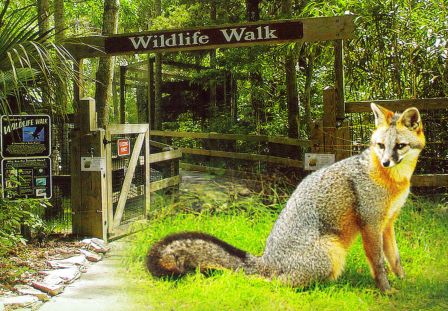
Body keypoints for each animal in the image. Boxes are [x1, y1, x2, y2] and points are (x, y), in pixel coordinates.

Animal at [146, 105, 424, 292]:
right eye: (380, 146)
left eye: (399, 146)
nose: (386, 162)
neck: (392, 181)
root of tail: (267, 259)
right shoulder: (370, 224)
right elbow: (378, 262)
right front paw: (386, 290)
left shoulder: (387, 224)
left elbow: (394, 258)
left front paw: (404, 281)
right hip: (332, 253)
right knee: (272, 282)